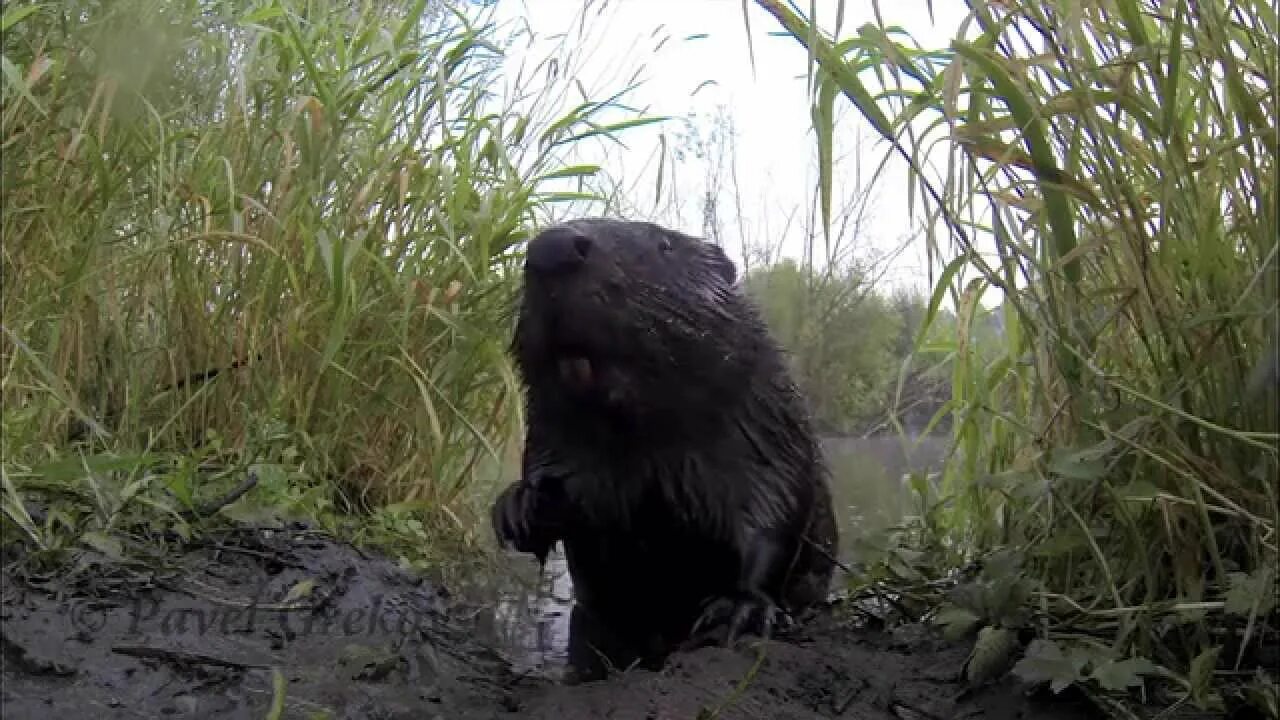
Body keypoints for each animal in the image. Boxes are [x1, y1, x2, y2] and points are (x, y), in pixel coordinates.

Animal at [488, 215, 839, 676]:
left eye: (665, 244)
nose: (552, 248)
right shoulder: (555, 428)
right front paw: (519, 505)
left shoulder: (765, 417)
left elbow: (775, 508)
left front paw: (738, 609)